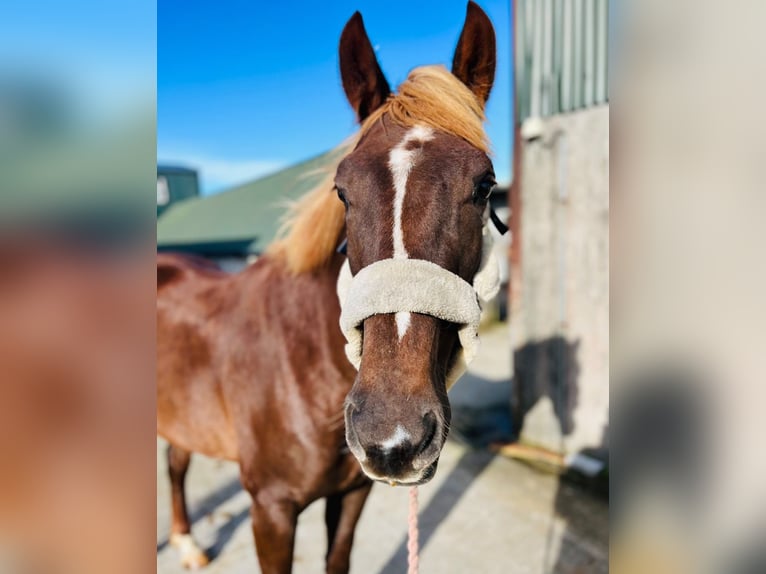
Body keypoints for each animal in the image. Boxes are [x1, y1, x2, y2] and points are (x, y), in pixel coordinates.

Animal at [157, 3, 497, 573]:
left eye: (485, 186)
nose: (393, 436)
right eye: (342, 190)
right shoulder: (271, 509)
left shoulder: (352, 495)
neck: (303, 363)